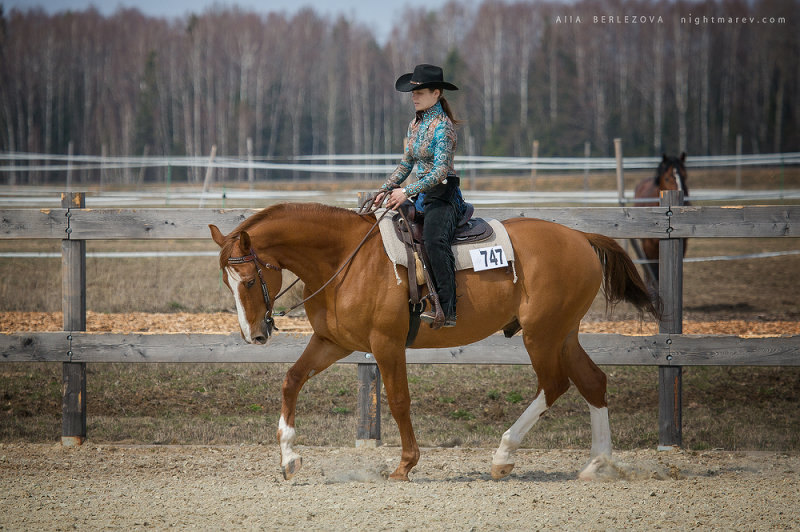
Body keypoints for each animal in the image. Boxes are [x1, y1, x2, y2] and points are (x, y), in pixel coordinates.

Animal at [209, 203, 660, 482]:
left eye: (247, 280)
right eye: (227, 282)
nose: (254, 335)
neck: (345, 260)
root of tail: (580, 236)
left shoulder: (386, 344)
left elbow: (398, 401)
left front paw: (405, 465)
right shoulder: (332, 342)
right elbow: (292, 380)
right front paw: (288, 458)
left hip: (542, 335)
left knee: (554, 384)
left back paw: (503, 456)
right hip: (564, 333)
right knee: (592, 382)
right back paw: (597, 464)